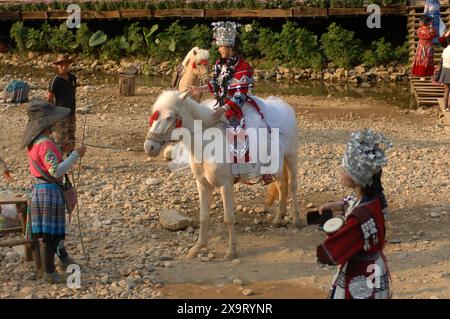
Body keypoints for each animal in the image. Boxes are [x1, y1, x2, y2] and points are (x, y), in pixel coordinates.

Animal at [143, 91, 298, 262]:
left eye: (169, 117)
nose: (149, 147)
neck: (206, 144)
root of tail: (284, 107)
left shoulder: (226, 185)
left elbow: (228, 218)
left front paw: (231, 251)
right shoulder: (202, 185)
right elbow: (203, 217)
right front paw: (197, 248)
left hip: (291, 157)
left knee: (292, 186)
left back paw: (297, 220)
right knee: (281, 185)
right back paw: (278, 219)